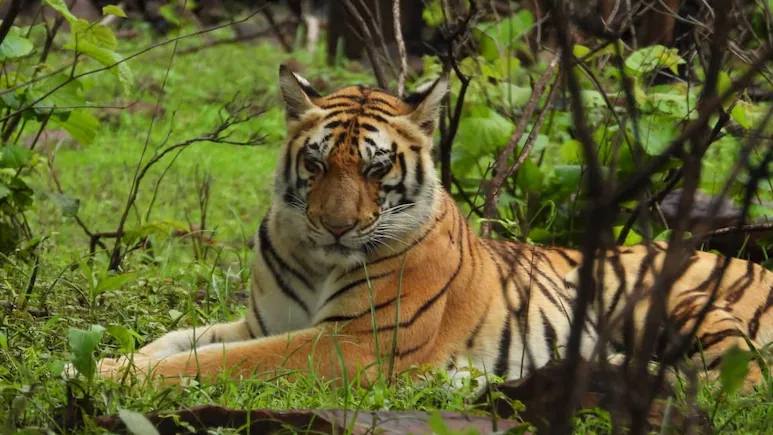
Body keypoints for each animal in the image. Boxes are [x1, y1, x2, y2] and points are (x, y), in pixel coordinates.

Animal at [74, 65, 773, 395]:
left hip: (670, 299)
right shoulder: (264, 321)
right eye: (316, 163)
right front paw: (118, 360)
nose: (335, 226)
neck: (317, 257)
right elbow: (178, 341)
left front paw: (111, 375)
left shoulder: (354, 342)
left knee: (737, 380)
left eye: (377, 167)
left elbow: (223, 362)